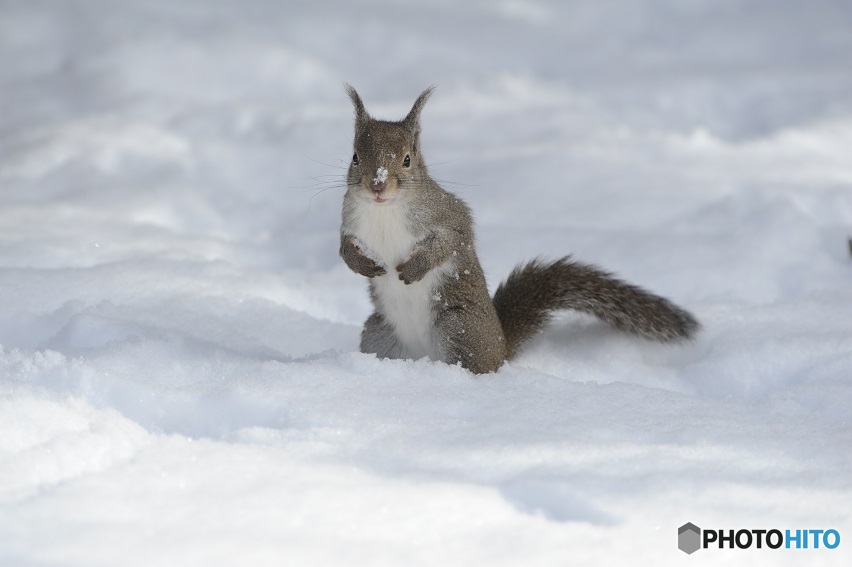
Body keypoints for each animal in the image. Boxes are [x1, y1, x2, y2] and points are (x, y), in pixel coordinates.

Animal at [340, 84, 700, 374]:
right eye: (355, 156)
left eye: (407, 159)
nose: (377, 186)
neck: (384, 210)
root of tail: (501, 347)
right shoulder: (350, 221)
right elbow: (343, 247)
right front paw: (360, 264)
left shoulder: (450, 216)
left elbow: (453, 241)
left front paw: (415, 268)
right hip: (379, 332)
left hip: (458, 328)